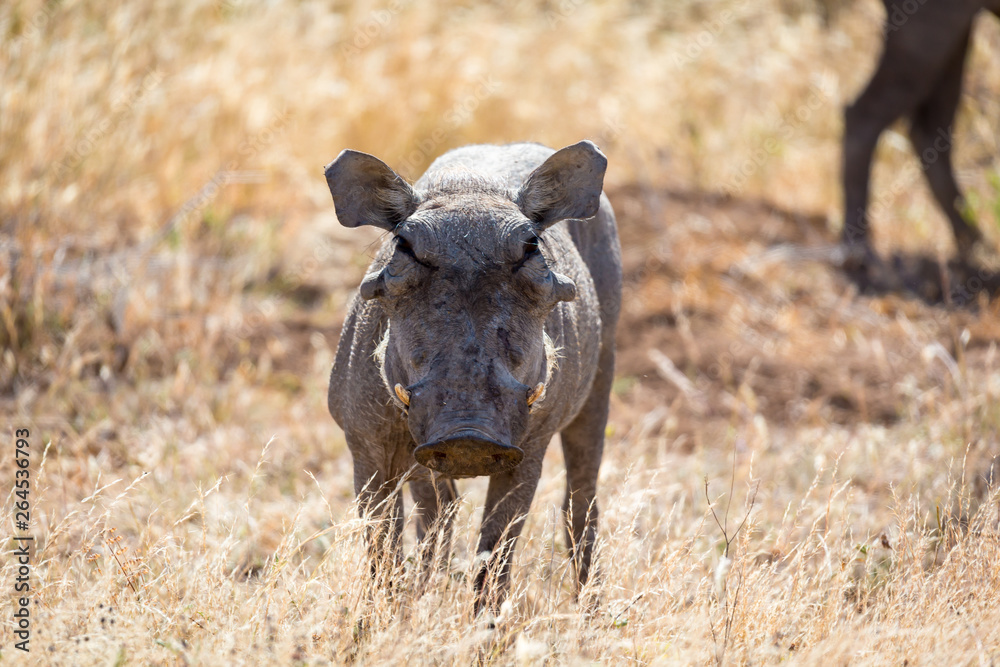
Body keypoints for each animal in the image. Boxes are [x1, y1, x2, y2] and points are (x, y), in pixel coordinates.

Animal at [324, 141, 621, 614]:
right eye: (404, 245)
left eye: (531, 246)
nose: (469, 436)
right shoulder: (365, 447)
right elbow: (382, 551)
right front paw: (386, 619)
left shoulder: (528, 452)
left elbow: (495, 554)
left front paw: (485, 629)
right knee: (439, 513)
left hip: (600, 384)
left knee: (581, 501)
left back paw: (590, 610)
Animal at [842, 0, 1000, 271]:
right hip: (929, 30)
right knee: (864, 116)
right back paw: (865, 257)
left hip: (953, 36)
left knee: (928, 133)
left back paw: (976, 247)